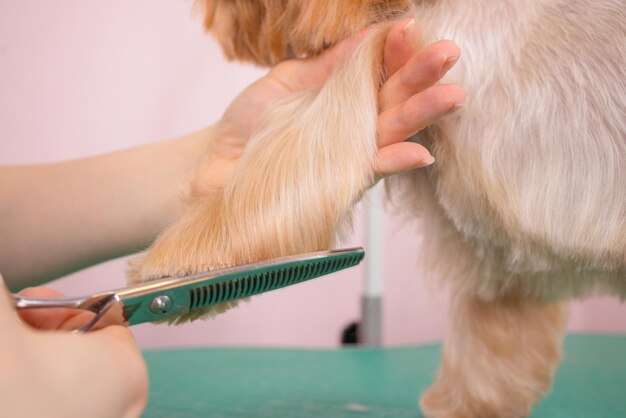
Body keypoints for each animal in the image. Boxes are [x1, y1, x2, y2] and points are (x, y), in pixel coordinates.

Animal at [128, 1, 624, 416]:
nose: (209, 14)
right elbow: (494, 346)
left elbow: (293, 159)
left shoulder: (388, 47)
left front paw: (179, 262)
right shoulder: (506, 270)